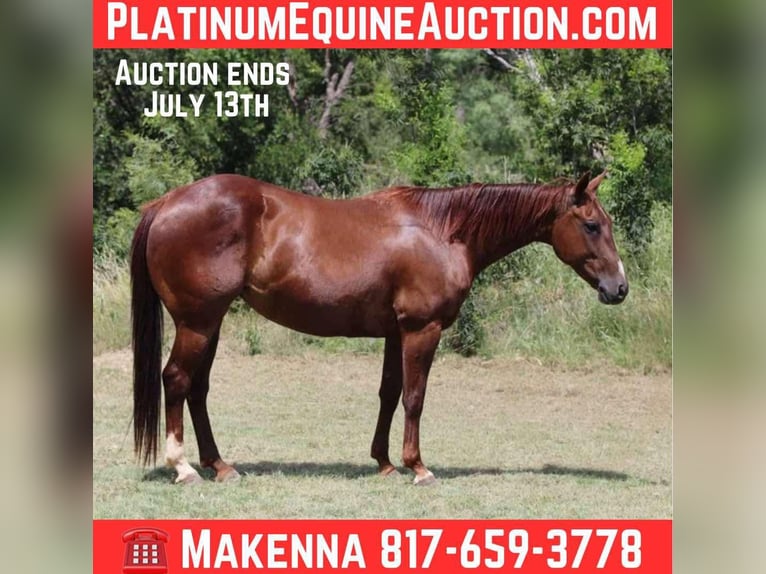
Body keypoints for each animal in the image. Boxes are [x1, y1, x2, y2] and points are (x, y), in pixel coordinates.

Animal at [130, 171, 627, 486]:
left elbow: (389, 394)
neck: (442, 230)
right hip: (197, 322)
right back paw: (184, 468)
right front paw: (418, 467)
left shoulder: (395, 332)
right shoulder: (422, 330)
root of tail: (166, 203)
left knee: (197, 390)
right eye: (591, 225)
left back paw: (219, 465)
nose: (619, 287)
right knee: (177, 380)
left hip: (209, 324)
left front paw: (385, 463)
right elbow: (414, 397)